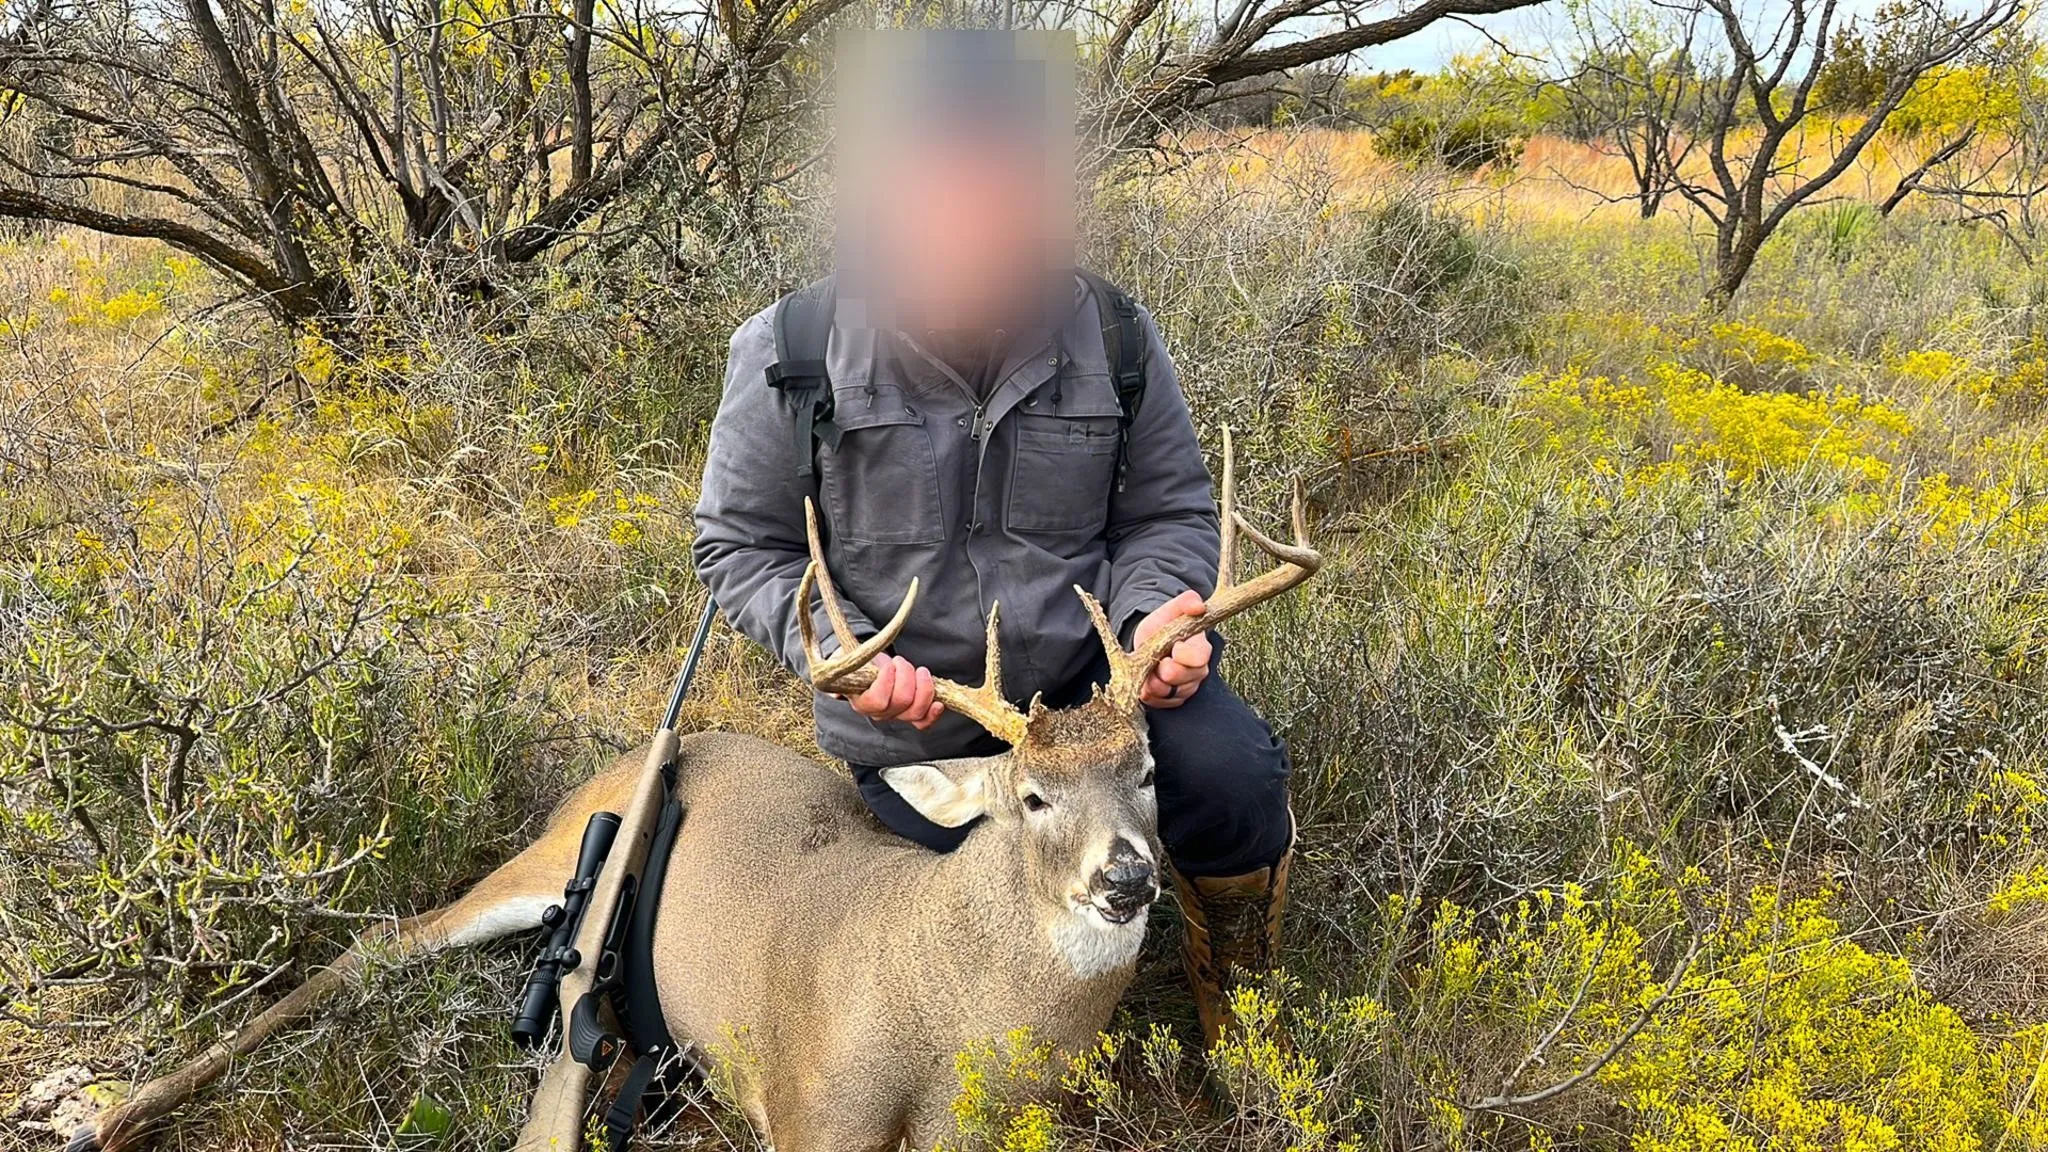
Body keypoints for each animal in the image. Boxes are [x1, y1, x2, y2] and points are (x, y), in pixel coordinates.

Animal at [64, 444, 1320, 1152]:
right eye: (1030, 796)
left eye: (1144, 772)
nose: (1128, 878)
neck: (954, 1028)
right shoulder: (815, 1117)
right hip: (553, 849)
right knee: (384, 939)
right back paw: (101, 1112)